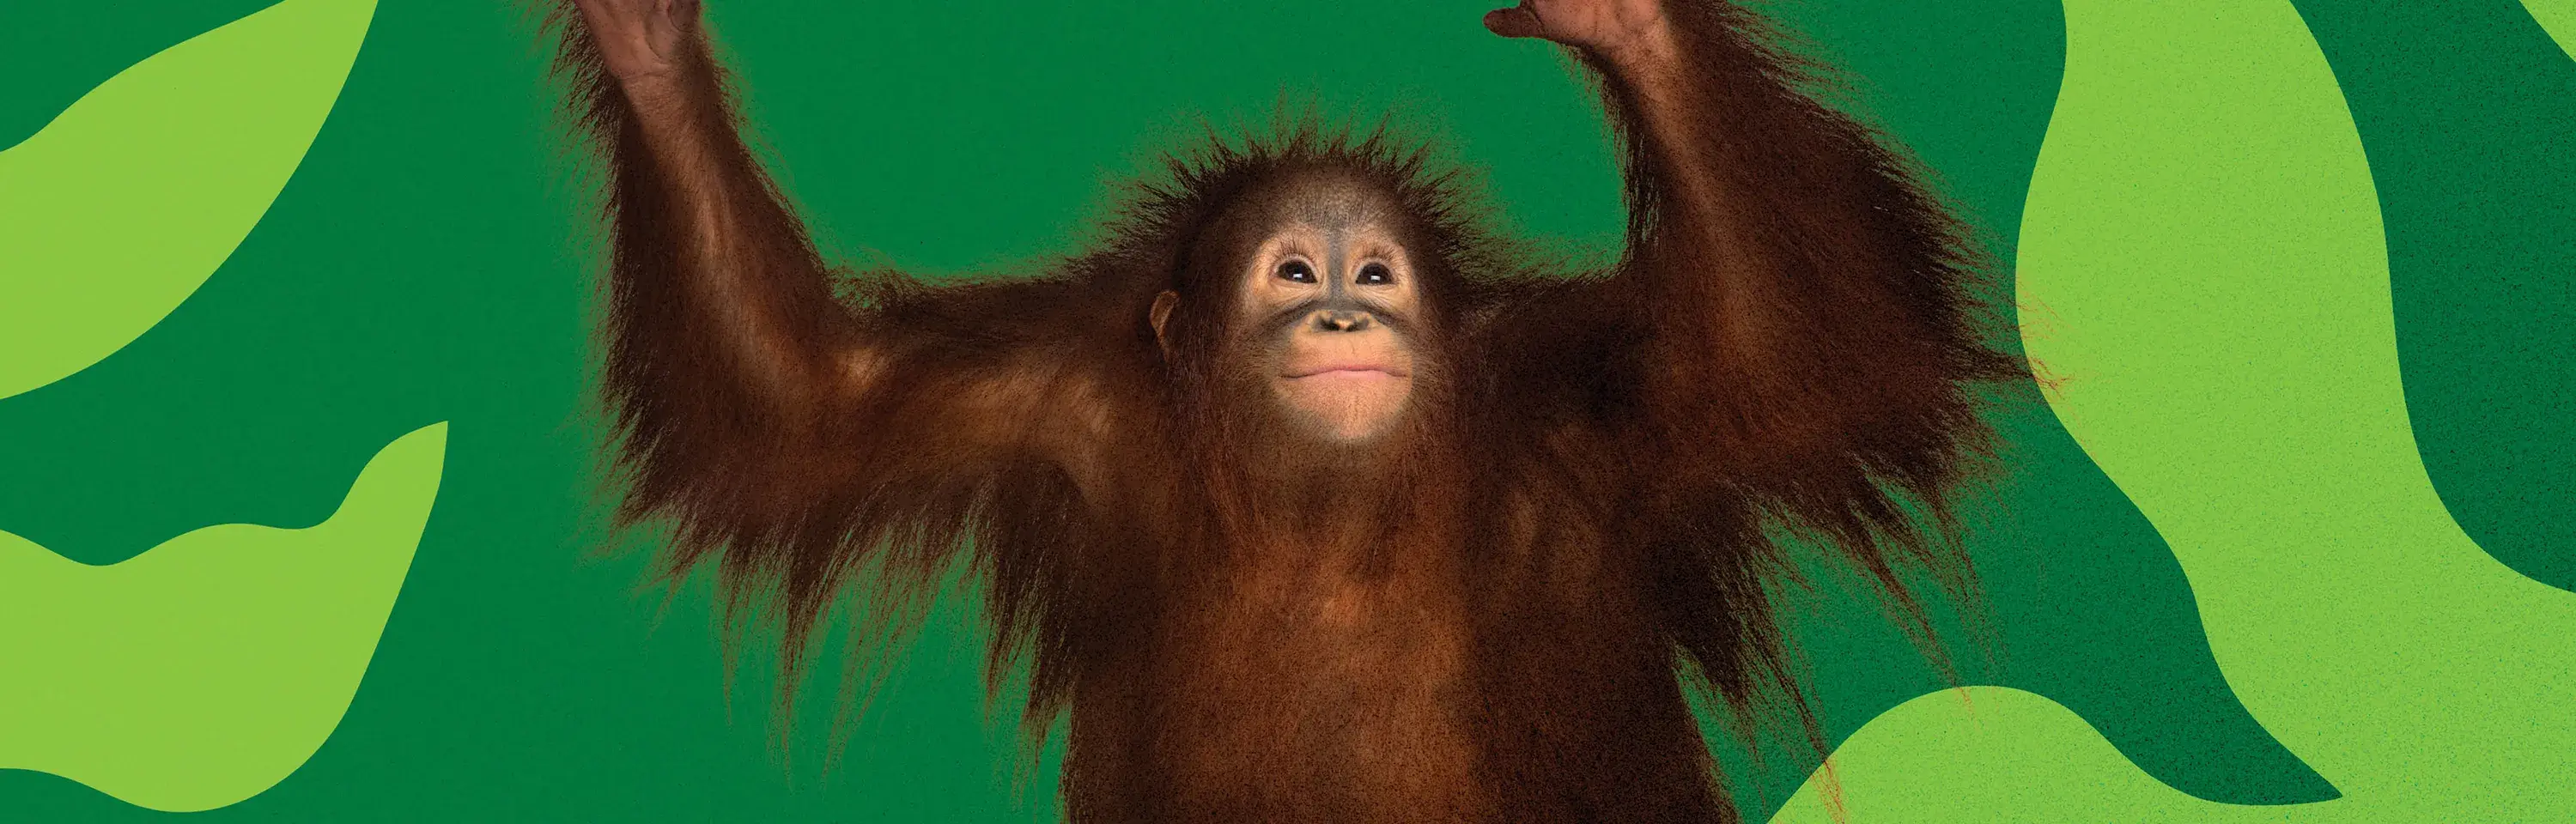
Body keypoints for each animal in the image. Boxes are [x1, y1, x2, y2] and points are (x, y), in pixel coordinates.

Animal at [554, 0, 2019, 821]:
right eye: (1292, 276)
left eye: (1374, 274)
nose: (1345, 321)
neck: (1330, 505)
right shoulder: (1053, 408)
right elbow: (815, 405)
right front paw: (650, 57)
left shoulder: (1595, 422)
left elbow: (1799, 354)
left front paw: (1628, 24)